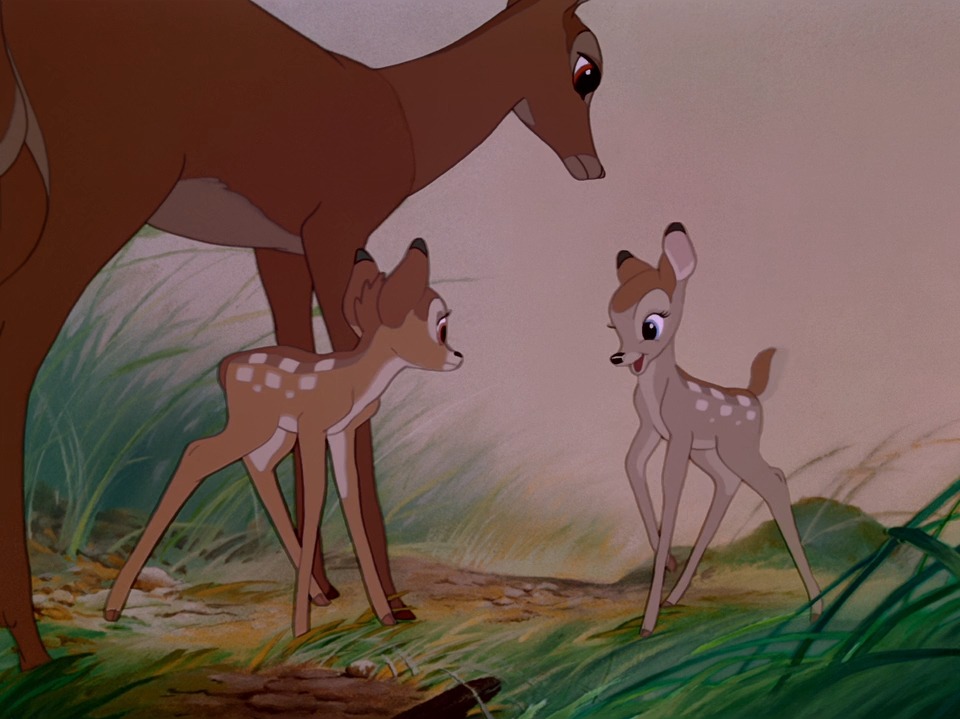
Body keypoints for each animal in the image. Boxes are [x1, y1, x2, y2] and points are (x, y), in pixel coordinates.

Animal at [104, 240, 462, 636]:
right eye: (441, 326)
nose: (458, 356)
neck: (354, 381)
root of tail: (224, 369)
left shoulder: (341, 431)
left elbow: (349, 499)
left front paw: (384, 615)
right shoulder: (312, 425)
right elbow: (317, 496)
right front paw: (302, 627)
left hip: (273, 433)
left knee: (258, 466)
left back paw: (318, 595)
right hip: (253, 425)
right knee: (198, 452)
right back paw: (113, 607)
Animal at [607, 222, 824, 637]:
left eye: (651, 325)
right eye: (612, 324)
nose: (618, 357)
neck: (661, 391)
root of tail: (754, 397)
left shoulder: (679, 434)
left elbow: (670, 490)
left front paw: (647, 624)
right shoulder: (651, 429)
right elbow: (631, 467)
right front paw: (667, 569)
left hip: (735, 448)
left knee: (774, 480)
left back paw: (817, 607)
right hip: (711, 454)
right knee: (729, 485)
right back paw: (676, 595)